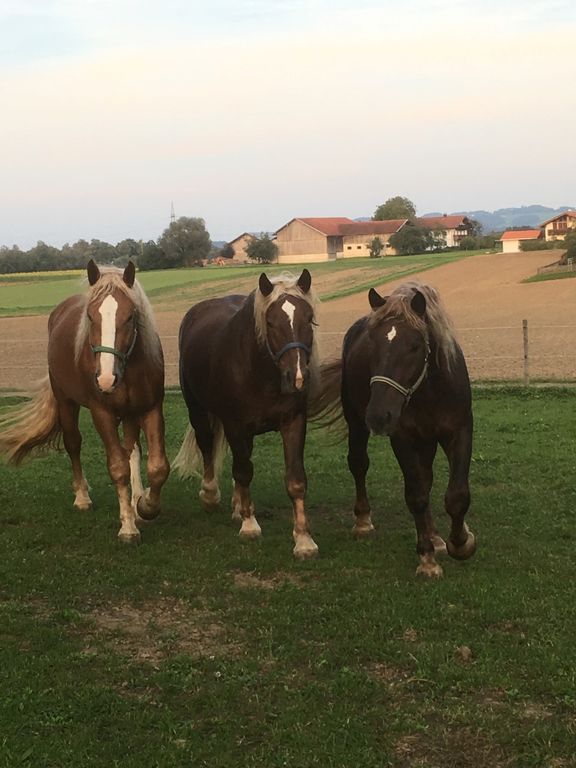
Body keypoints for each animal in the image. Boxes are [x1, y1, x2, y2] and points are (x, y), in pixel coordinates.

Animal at [0, 260, 170, 544]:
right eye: (90, 317)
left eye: (130, 316)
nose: (106, 379)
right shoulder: (102, 414)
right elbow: (118, 467)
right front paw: (127, 526)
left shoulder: (150, 409)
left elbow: (156, 467)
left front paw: (145, 506)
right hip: (66, 402)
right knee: (73, 444)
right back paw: (82, 496)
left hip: (130, 414)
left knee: (132, 449)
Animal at [173, 270, 322, 560]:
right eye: (270, 322)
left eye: (309, 319)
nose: (297, 377)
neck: (259, 373)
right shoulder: (235, 425)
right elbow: (243, 471)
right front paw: (250, 525)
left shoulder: (293, 423)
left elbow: (295, 480)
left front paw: (303, 540)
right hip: (198, 411)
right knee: (208, 448)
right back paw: (211, 496)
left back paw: (236, 505)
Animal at [316, 280, 476, 576]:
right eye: (372, 344)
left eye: (414, 345)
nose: (379, 415)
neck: (429, 391)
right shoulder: (402, 439)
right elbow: (416, 495)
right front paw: (426, 558)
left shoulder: (459, 431)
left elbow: (457, 495)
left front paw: (461, 543)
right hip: (357, 424)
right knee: (359, 464)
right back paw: (363, 521)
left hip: (427, 440)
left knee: (426, 478)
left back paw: (436, 536)